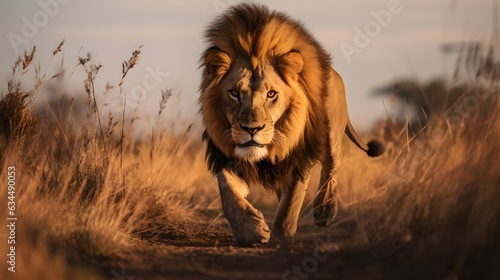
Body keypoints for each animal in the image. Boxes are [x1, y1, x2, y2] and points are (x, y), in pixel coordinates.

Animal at [199, 3, 382, 246]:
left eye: (271, 94)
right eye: (234, 93)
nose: (251, 129)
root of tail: (332, 71)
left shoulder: (299, 159)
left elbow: (291, 202)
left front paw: (281, 234)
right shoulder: (226, 155)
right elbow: (228, 193)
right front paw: (250, 229)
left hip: (331, 135)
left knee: (330, 170)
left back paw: (325, 211)